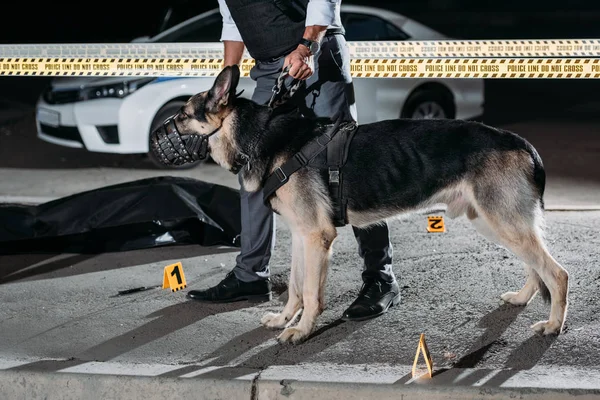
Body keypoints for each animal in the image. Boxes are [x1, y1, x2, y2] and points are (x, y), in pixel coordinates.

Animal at [171, 65, 568, 344]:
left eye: (182, 115)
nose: (163, 130)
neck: (260, 137)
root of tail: (520, 142)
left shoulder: (316, 238)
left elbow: (311, 293)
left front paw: (301, 332)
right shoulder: (302, 237)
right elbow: (297, 289)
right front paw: (285, 320)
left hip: (503, 224)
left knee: (557, 273)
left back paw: (553, 325)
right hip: (496, 223)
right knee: (536, 267)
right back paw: (522, 298)